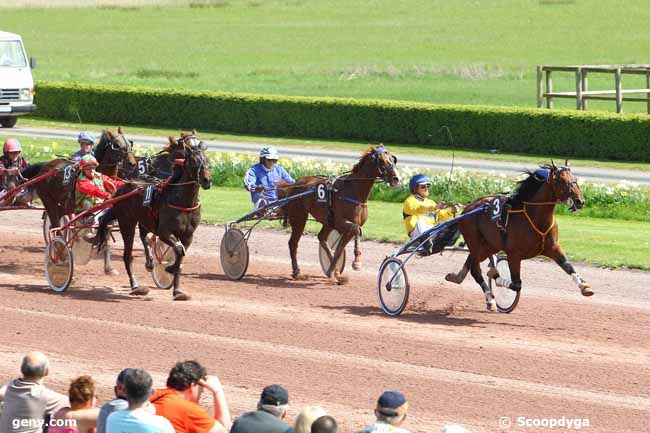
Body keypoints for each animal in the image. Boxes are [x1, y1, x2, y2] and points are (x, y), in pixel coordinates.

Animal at [93, 136, 211, 300]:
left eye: (207, 160)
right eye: (194, 161)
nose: (207, 180)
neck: (182, 201)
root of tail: (122, 188)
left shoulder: (188, 235)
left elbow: (181, 255)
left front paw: (177, 290)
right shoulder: (164, 232)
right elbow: (178, 250)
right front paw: (169, 268)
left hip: (144, 220)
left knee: (144, 237)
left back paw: (149, 262)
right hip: (127, 224)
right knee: (127, 256)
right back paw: (135, 286)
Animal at [276, 144, 398, 284]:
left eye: (393, 159)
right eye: (382, 161)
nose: (396, 179)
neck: (354, 191)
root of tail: (294, 184)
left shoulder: (342, 225)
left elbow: (339, 249)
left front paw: (337, 274)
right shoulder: (341, 222)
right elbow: (356, 230)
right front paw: (356, 262)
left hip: (327, 222)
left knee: (321, 238)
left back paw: (330, 270)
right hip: (299, 217)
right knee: (293, 243)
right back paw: (297, 272)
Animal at [442, 160, 588, 308]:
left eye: (575, 179)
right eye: (561, 180)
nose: (580, 201)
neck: (535, 218)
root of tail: (468, 208)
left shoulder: (553, 248)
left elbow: (568, 266)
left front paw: (584, 286)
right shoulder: (514, 254)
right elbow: (516, 284)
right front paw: (496, 276)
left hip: (489, 245)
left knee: (471, 261)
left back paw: (456, 277)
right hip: (475, 241)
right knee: (476, 270)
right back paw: (490, 298)